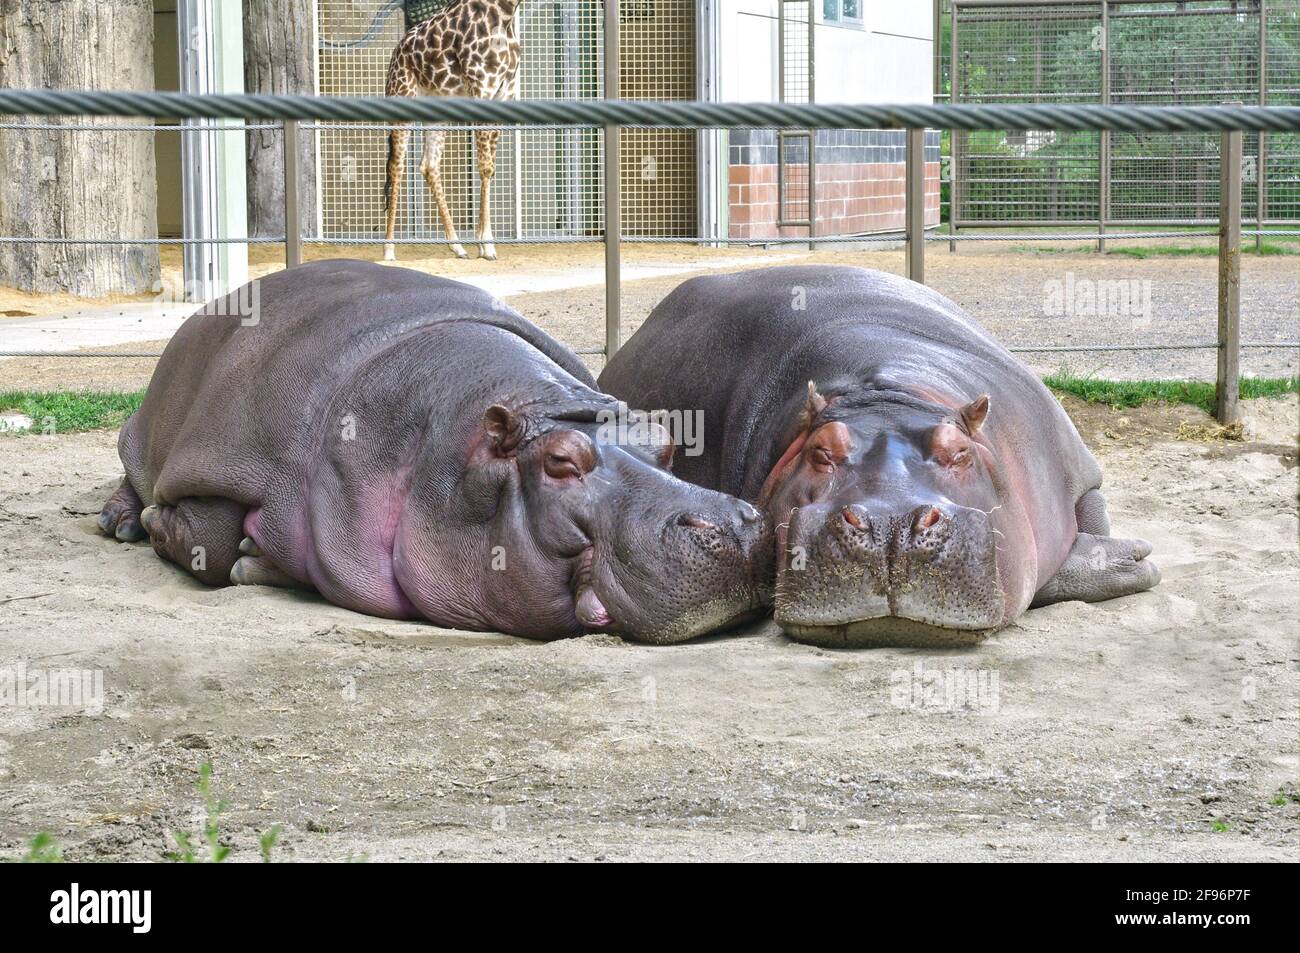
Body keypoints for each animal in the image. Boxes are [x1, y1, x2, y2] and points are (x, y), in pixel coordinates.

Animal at [96, 260, 770, 643]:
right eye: (560, 461)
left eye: (665, 439)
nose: (736, 525)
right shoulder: (229, 453)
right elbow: (207, 539)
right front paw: (179, 533)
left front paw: (254, 558)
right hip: (150, 423)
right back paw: (120, 521)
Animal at [599, 265, 1159, 647]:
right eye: (821, 452)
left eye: (959, 452)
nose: (889, 525)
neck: (891, 392)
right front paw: (1135, 557)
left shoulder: (1083, 476)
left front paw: (1132, 555)